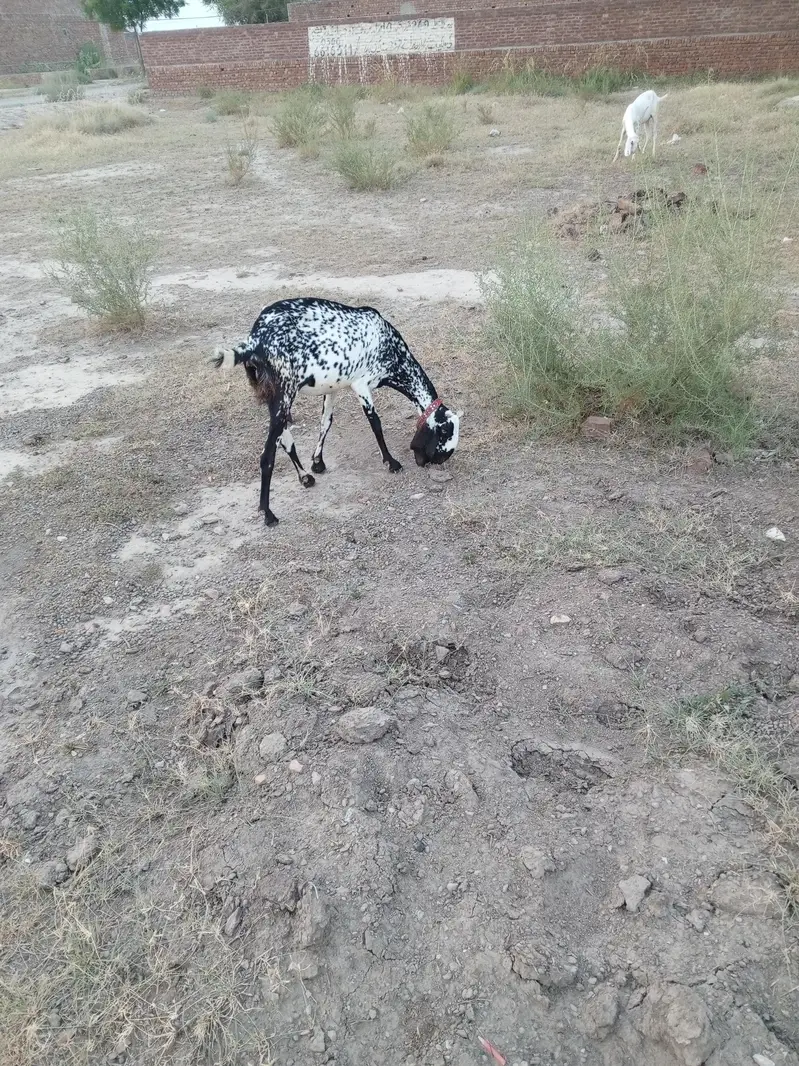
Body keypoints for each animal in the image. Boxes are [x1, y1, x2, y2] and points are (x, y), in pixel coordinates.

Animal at [212, 297, 461, 527]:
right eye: (441, 450)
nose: (423, 463)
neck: (390, 347)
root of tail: (255, 340)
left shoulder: (333, 388)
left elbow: (326, 422)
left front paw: (318, 462)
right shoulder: (361, 385)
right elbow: (375, 424)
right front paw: (391, 462)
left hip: (273, 397)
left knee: (284, 438)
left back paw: (305, 477)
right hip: (284, 393)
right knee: (267, 455)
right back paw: (268, 513)